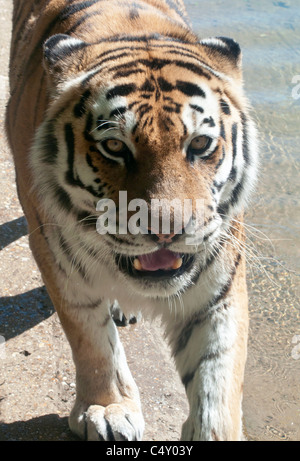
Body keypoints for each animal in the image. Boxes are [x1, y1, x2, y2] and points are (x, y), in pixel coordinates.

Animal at [5, 0, 258, 438]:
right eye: (114, 146)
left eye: (200, 143)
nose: (167, 230)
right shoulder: (59, 261)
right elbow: (90, 338)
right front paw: (108, 408)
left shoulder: (218, 282)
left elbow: (218, 370)